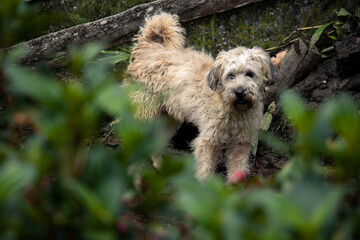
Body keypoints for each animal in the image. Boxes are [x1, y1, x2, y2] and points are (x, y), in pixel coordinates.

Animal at [126, 12, 276, 182]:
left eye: (249, 74)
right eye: (230, 75)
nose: (239, 92)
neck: (233, 110)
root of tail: (148, 48)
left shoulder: (240, 143)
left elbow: (237, 171)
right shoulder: (208, 141)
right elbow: (205, 170)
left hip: (168, 119)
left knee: (155, 145)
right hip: (143, 116)